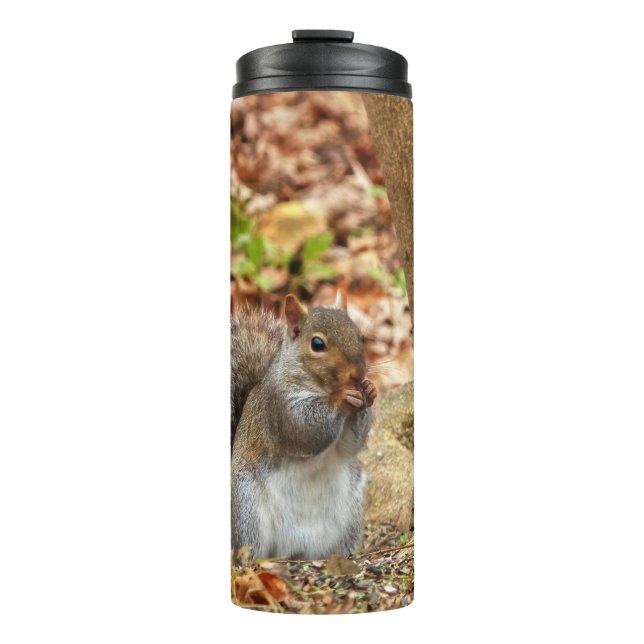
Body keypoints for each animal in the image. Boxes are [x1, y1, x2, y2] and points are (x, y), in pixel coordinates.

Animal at [231, 290, 377, 560]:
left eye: (359, 335)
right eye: (317, 344)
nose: (358, 374)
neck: (319, 387)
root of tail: (294, 552)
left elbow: (352, 444)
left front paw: (370, 391)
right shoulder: (279, 407)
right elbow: (306, 430)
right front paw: (342, 398)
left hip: (352, 508)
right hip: (247, 508)